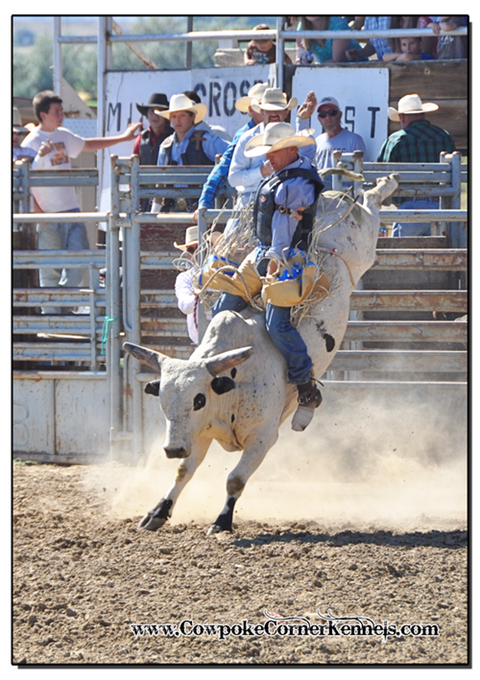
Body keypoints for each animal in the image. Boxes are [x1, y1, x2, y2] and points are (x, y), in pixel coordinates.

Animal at [123, 173, 398, 532]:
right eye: (163, 399)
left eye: (198, 399)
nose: (171, 448)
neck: (232, 384)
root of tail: (329, 199)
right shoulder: (198, 432)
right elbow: (184, 471)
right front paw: (158, 511)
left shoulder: (263, 438)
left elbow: (235, 479)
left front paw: (222, 521)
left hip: (362, 243)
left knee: (369, 205)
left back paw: (386, 184)